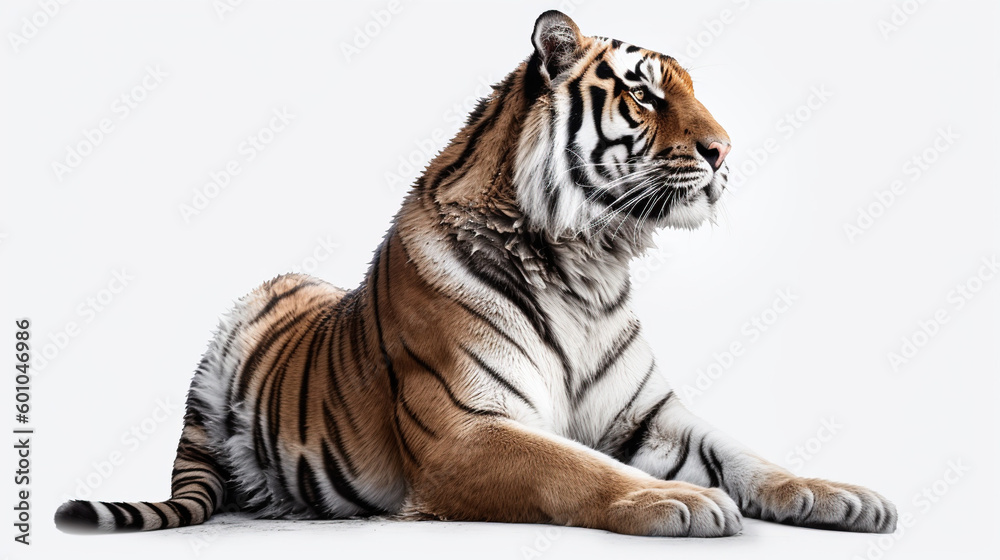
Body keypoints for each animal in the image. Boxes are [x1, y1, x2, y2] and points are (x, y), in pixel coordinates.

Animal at [55, 10, 897, 537]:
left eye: (691, 90)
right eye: (644, 94)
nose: (725, 151)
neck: (591, 266)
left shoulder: (649, 419)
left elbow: (751, 456)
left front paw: (844, 496)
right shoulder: (467, 431)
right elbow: (576, 466)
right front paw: (681, 499)